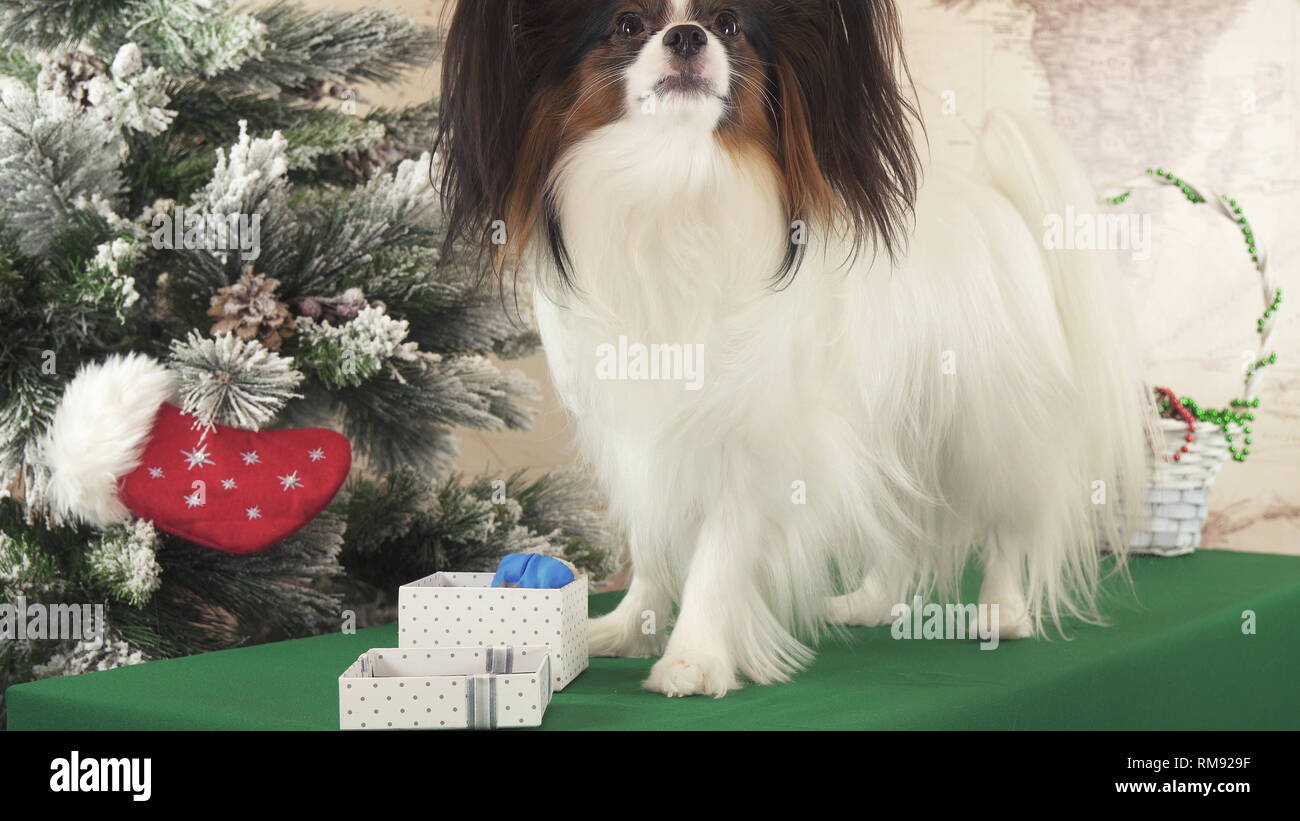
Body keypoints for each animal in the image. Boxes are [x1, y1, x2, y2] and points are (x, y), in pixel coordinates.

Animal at [434, 0, 1149, 696]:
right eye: (628, 25)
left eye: (728, 24)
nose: (687, 36)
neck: (673, 177)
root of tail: (995, 203)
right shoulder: (642, 429)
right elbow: (652, 538)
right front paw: (630, 628)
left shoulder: (752, 436)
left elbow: (718, 551)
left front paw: (695, 658)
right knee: (898, 522)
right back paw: (868, 602)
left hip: (983, 426)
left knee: (1007, 519)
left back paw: (1002, 611)